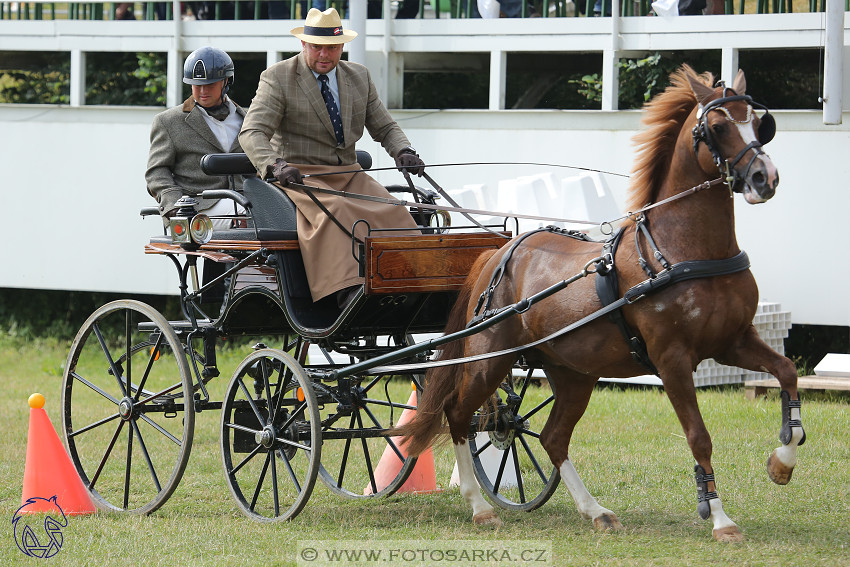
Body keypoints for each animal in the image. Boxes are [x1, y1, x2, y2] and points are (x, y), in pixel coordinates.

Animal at [394, 67, 804, 544]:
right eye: (718, 127)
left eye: (760, 123)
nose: (764, 177)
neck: (682, 249)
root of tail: (500, 252)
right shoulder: (672, 359)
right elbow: (698, 435)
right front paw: (719, 518)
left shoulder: (733, 341)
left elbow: (787, 372)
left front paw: (781, 463)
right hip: (488, 360)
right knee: (459, 416)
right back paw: (480, 507)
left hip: (573, 372)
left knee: (552, 437)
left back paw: (595, 510)